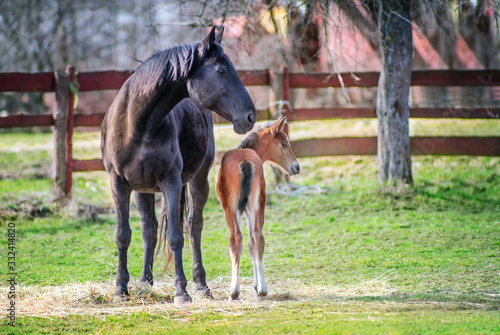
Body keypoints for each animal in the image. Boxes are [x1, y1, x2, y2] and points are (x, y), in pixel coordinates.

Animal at [101, 26, 258, 304]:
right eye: (221, 70)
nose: (250, 116)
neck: (137, 125)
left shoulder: (171, 182)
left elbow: (176, 236)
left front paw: (182, 291)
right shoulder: (118, 183)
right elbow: (123, 235)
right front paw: (121, 289)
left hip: (198, 180)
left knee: (194, 227)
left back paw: (201, 285)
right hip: (142, 190)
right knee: (150, 230)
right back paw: (145, 282)